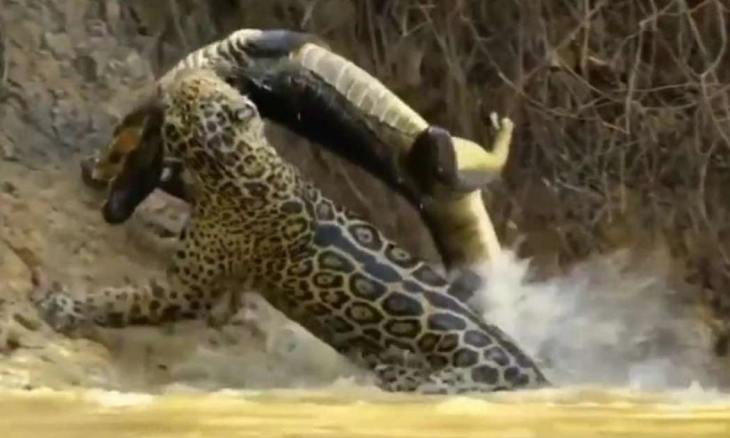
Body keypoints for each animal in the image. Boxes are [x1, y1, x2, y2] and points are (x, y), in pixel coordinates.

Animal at [34, 67, 549, 394]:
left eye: (197, 90)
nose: (183, 77)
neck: (235, 163)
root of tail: (535, 377)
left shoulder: (186, 288)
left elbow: (124, 300)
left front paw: (63, 307)